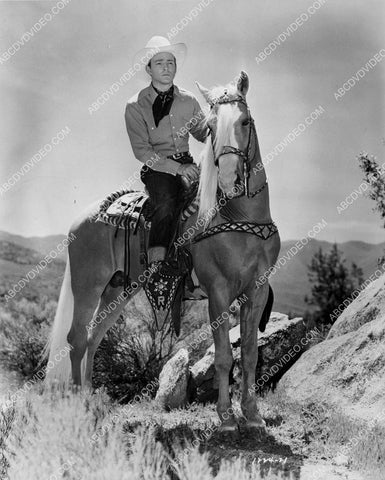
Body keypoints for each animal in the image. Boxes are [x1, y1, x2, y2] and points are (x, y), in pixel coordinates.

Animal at [45, 70, 280, 432]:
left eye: (245, 121)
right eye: (211, 127)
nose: (229, 181)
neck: (237, 216)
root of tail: (82, 216)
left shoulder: (257, 289)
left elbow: (251, 353)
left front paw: (252, 415)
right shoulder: (218, 291)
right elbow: (224, 356)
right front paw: (226, 417)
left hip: (119, 288)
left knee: (95, 336)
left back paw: (90, 399)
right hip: (87, 284)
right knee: (77, 339)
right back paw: (78, 405)